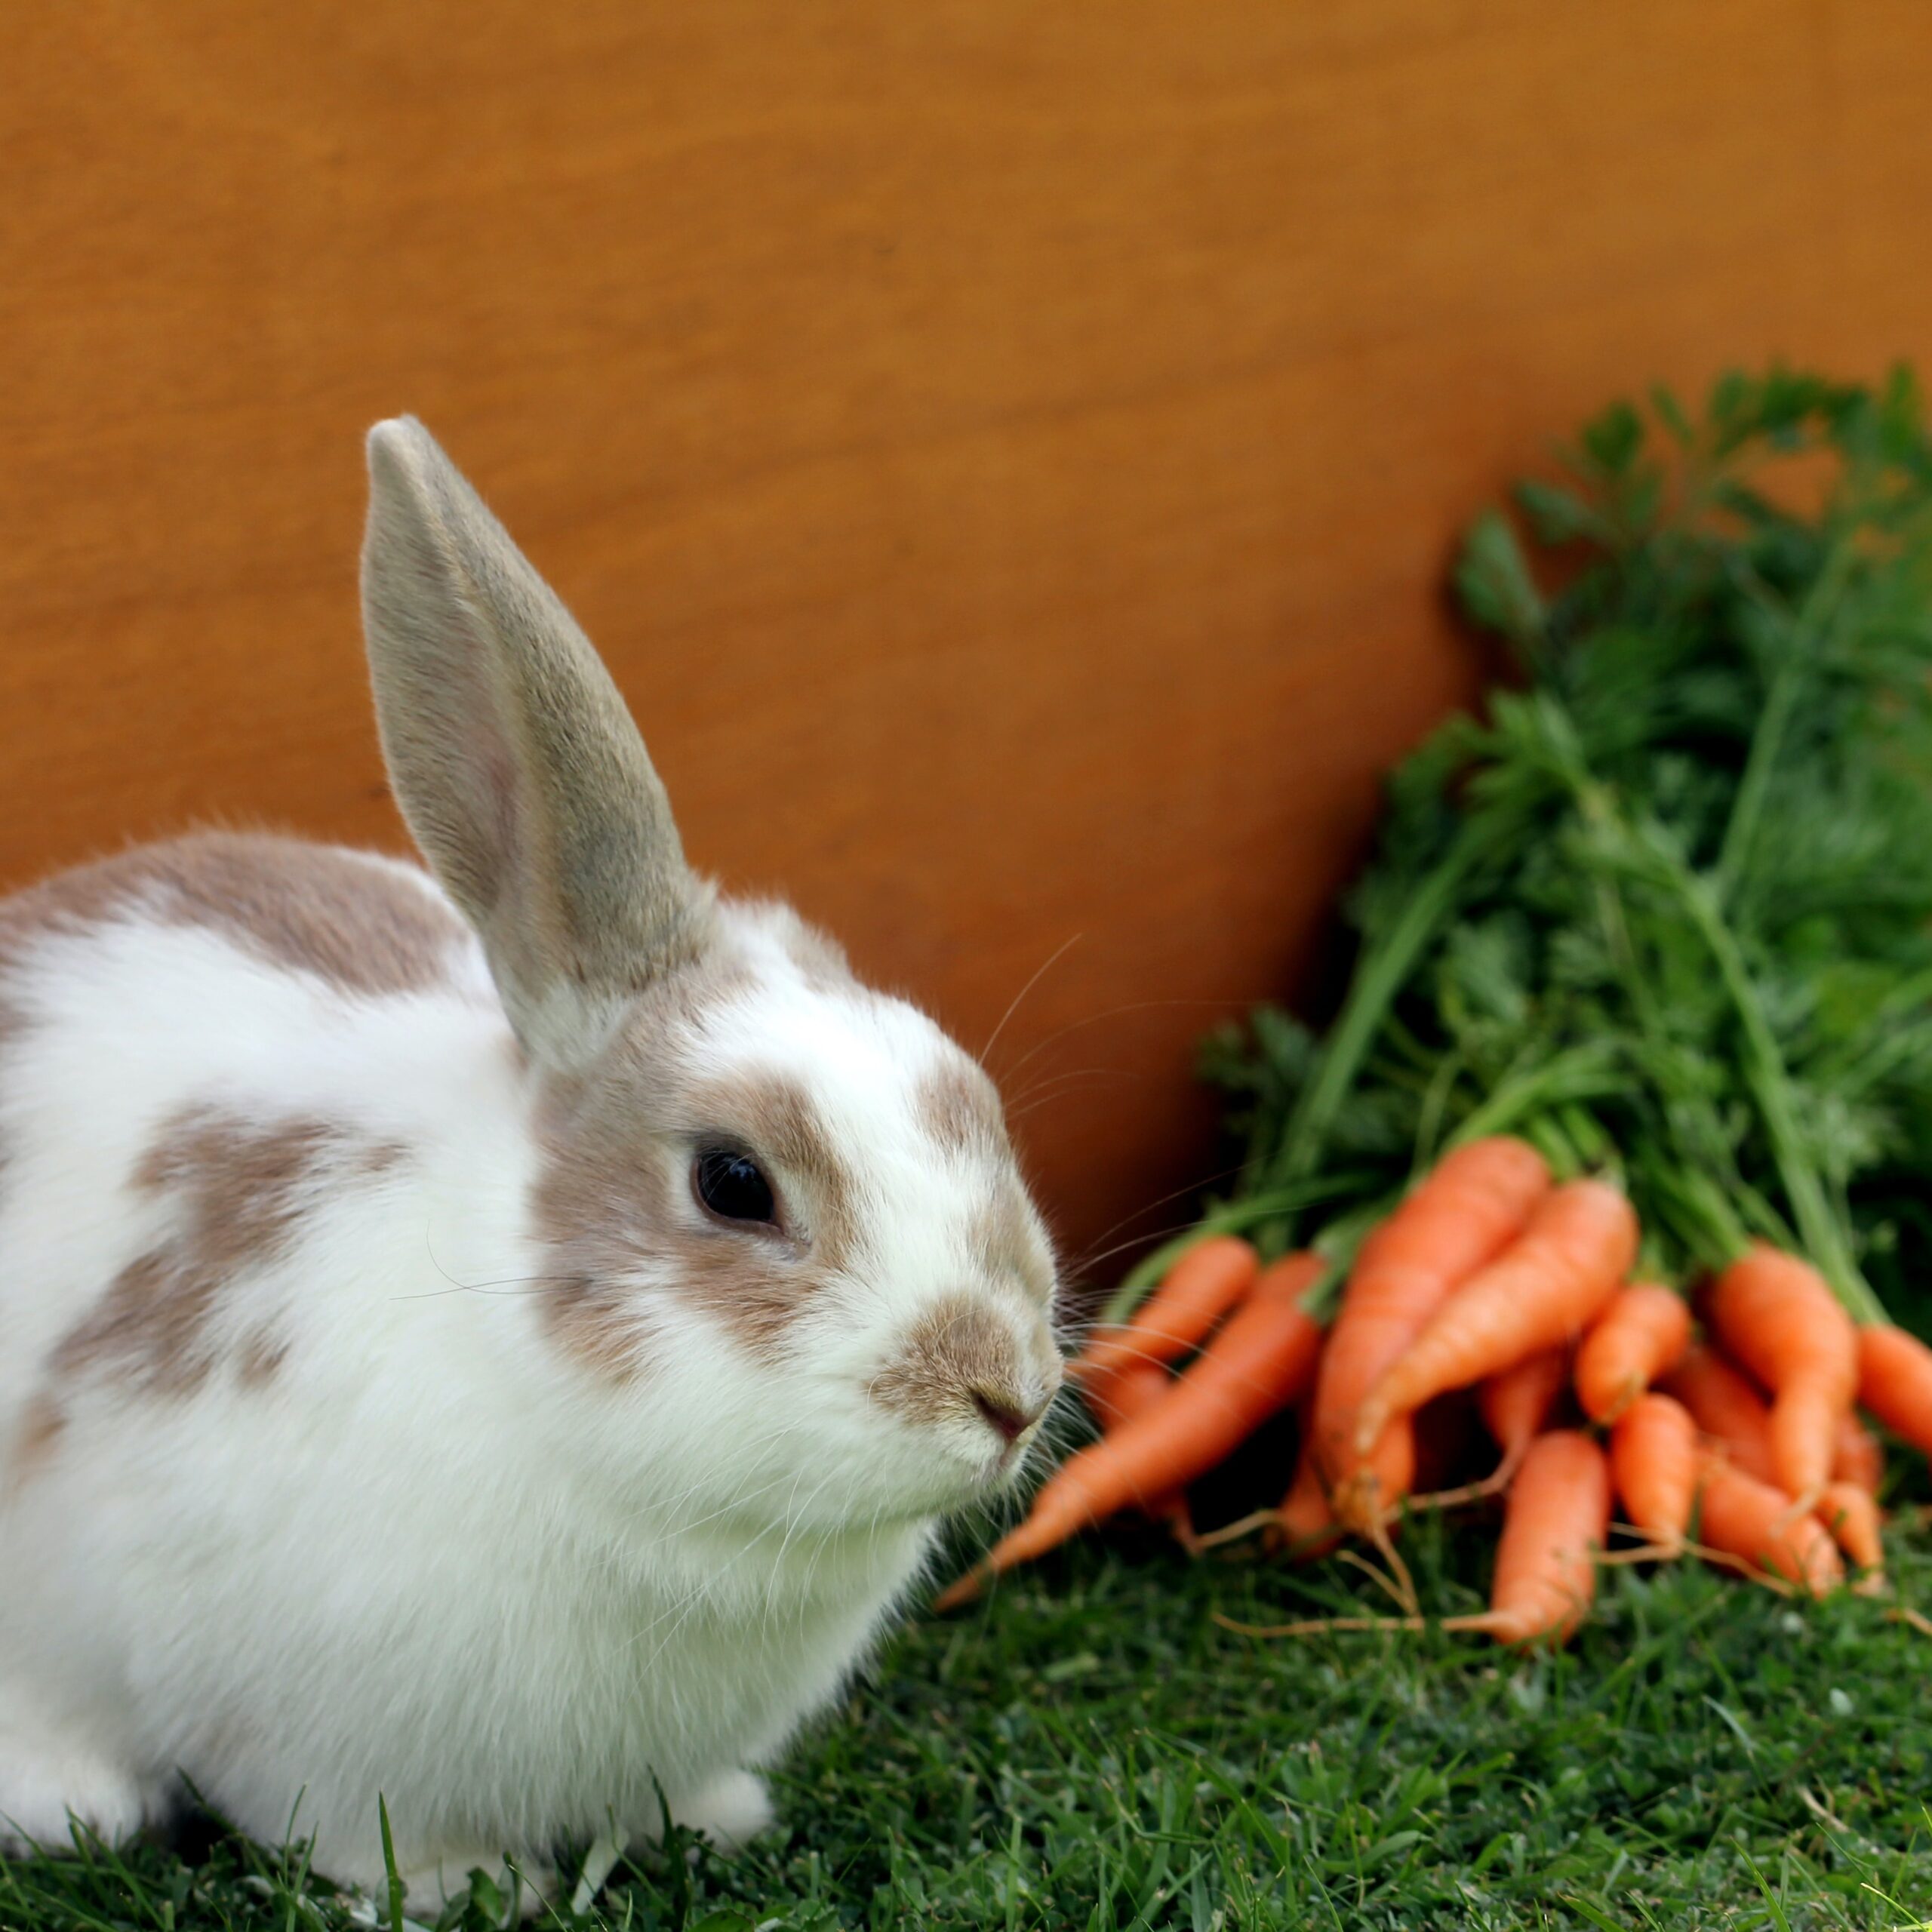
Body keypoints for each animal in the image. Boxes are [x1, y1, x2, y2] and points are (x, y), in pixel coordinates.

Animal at [0, 419, 1066, 1901]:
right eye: (733, 1183)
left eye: (965, 1091)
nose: (1008, 1394)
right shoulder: (308, 1731)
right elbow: (358, 1827)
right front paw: (465, 1888)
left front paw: (719, 1817)